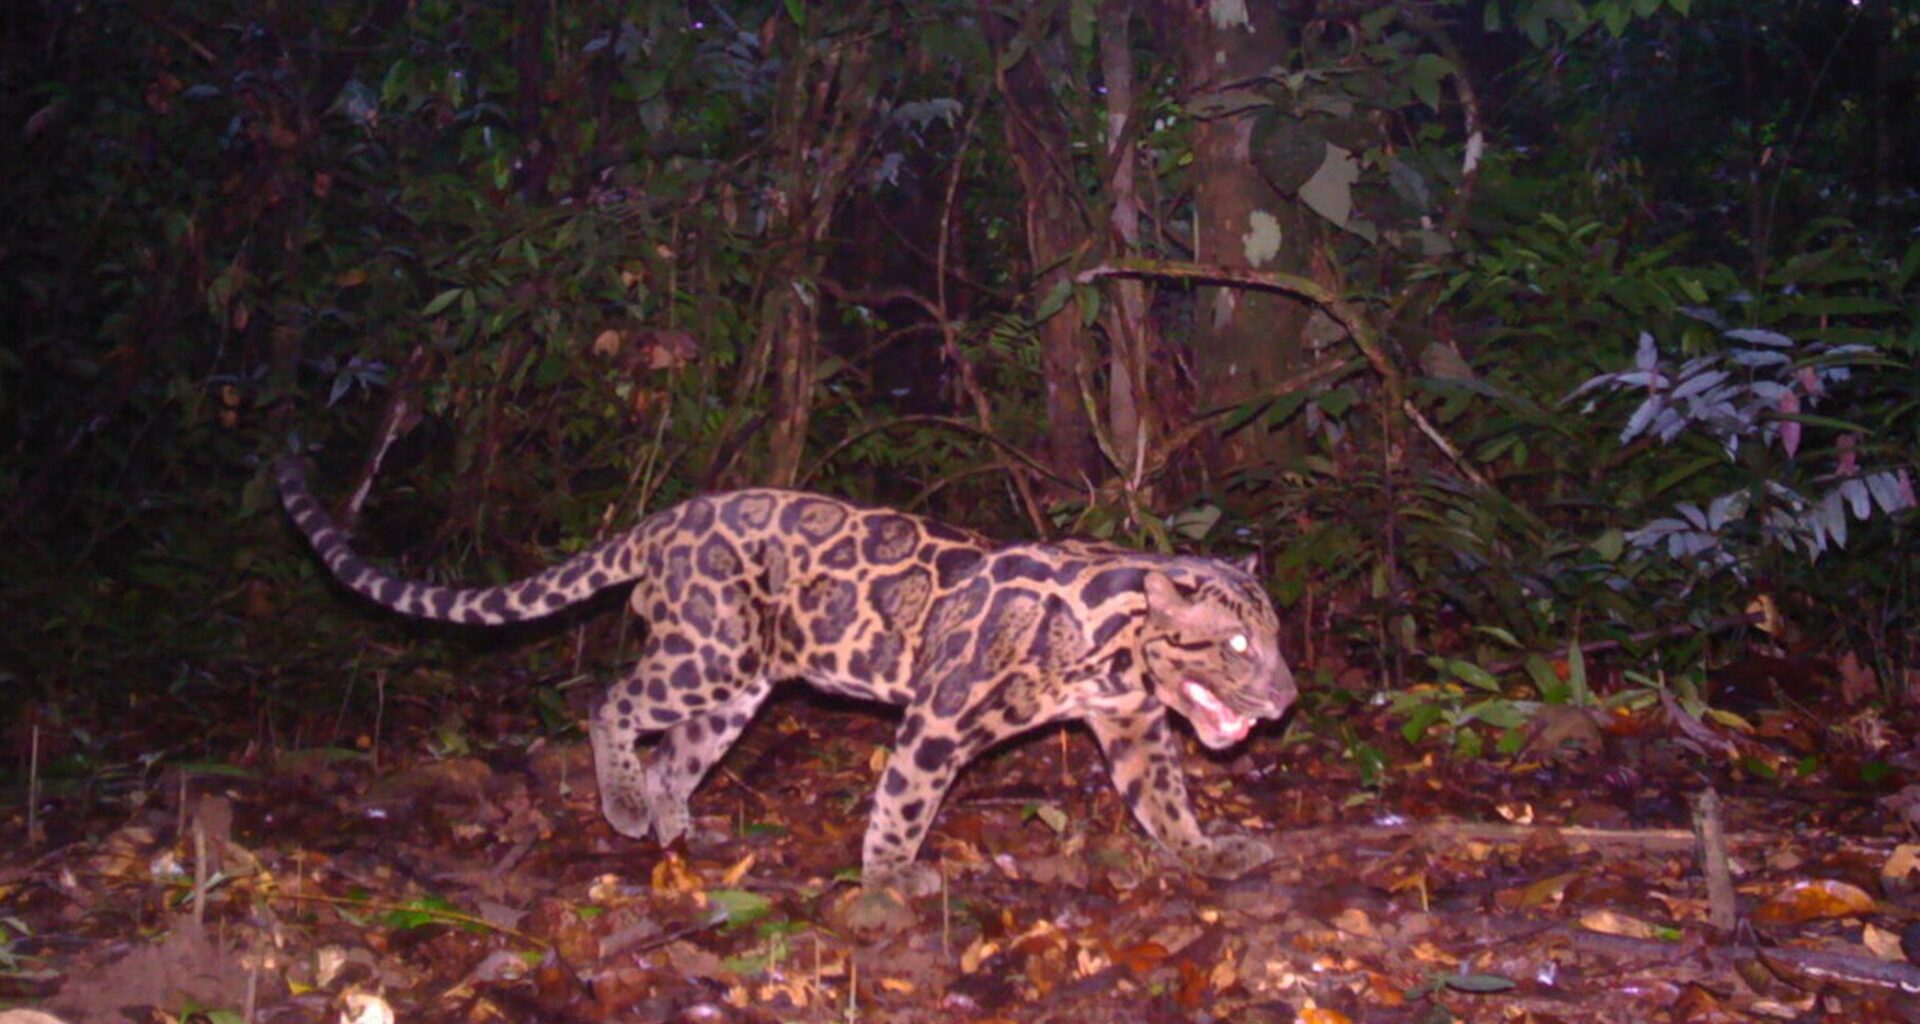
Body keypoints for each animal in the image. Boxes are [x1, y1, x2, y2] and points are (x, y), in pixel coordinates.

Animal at [276, 457, 1296, 892]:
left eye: (1275, 639)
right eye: (1237, 647)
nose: (1287, 695)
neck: (1116, 641)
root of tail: (662, 520)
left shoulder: (1133, 726)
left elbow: (1165, 799)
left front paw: (1209, 853)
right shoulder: (940, 716)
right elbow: (905, 802)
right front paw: (889, 880)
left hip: (735, 688)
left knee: (675, 752)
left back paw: (672, 825)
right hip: (707, 654)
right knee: (612, 703)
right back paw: (623, 807)